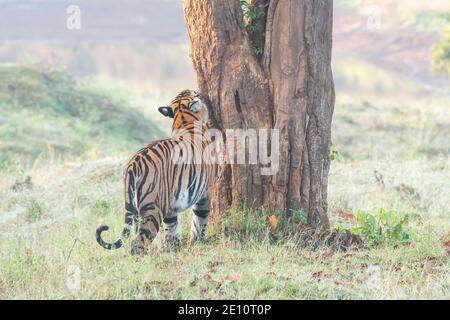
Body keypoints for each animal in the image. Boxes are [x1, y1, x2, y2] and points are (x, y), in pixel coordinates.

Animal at [96, 90, 215, 255]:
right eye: (194, 93)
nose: (201, 93)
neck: (184, 120)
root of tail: (133, 163)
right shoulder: (205, 190)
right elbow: (200, 219)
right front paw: (198, 242)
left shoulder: (170, 205)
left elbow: (172, 227)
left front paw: (173, 248)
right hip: (152, 209)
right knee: (138, 242)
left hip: (138, 209)